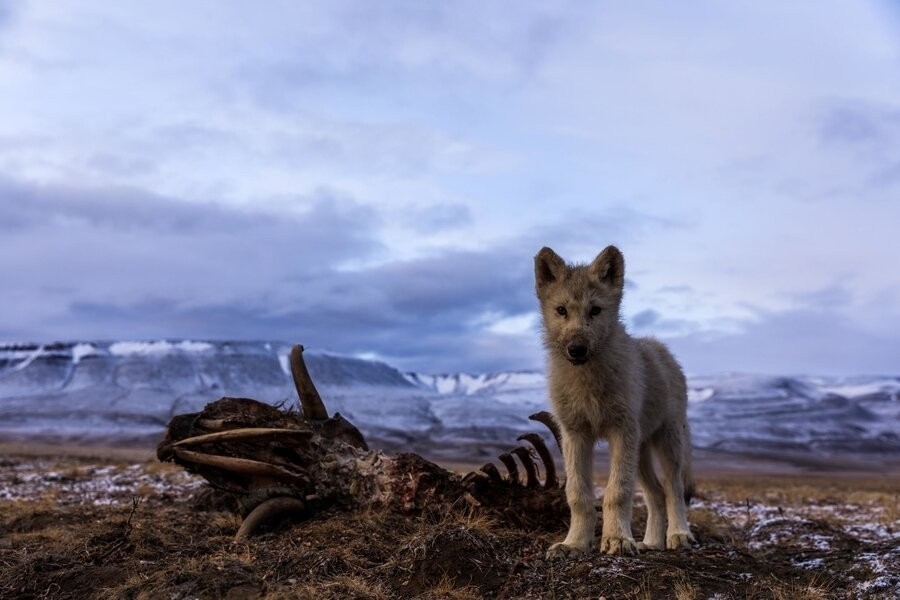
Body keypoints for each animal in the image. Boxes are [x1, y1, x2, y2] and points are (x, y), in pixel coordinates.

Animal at [534, 245, 695, 558]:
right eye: (561, 310)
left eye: (595, 310)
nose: (576, 349)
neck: (587, 383)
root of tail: (662, 349)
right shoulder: (575, 435)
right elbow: (578, 495)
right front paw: (574, 543)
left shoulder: (621, 431)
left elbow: (616, 492)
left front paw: (618, 540)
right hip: (640, 452)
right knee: (656, 494)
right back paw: (652, 542)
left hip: (667, 443)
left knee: (674, 489)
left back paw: (679, 535)